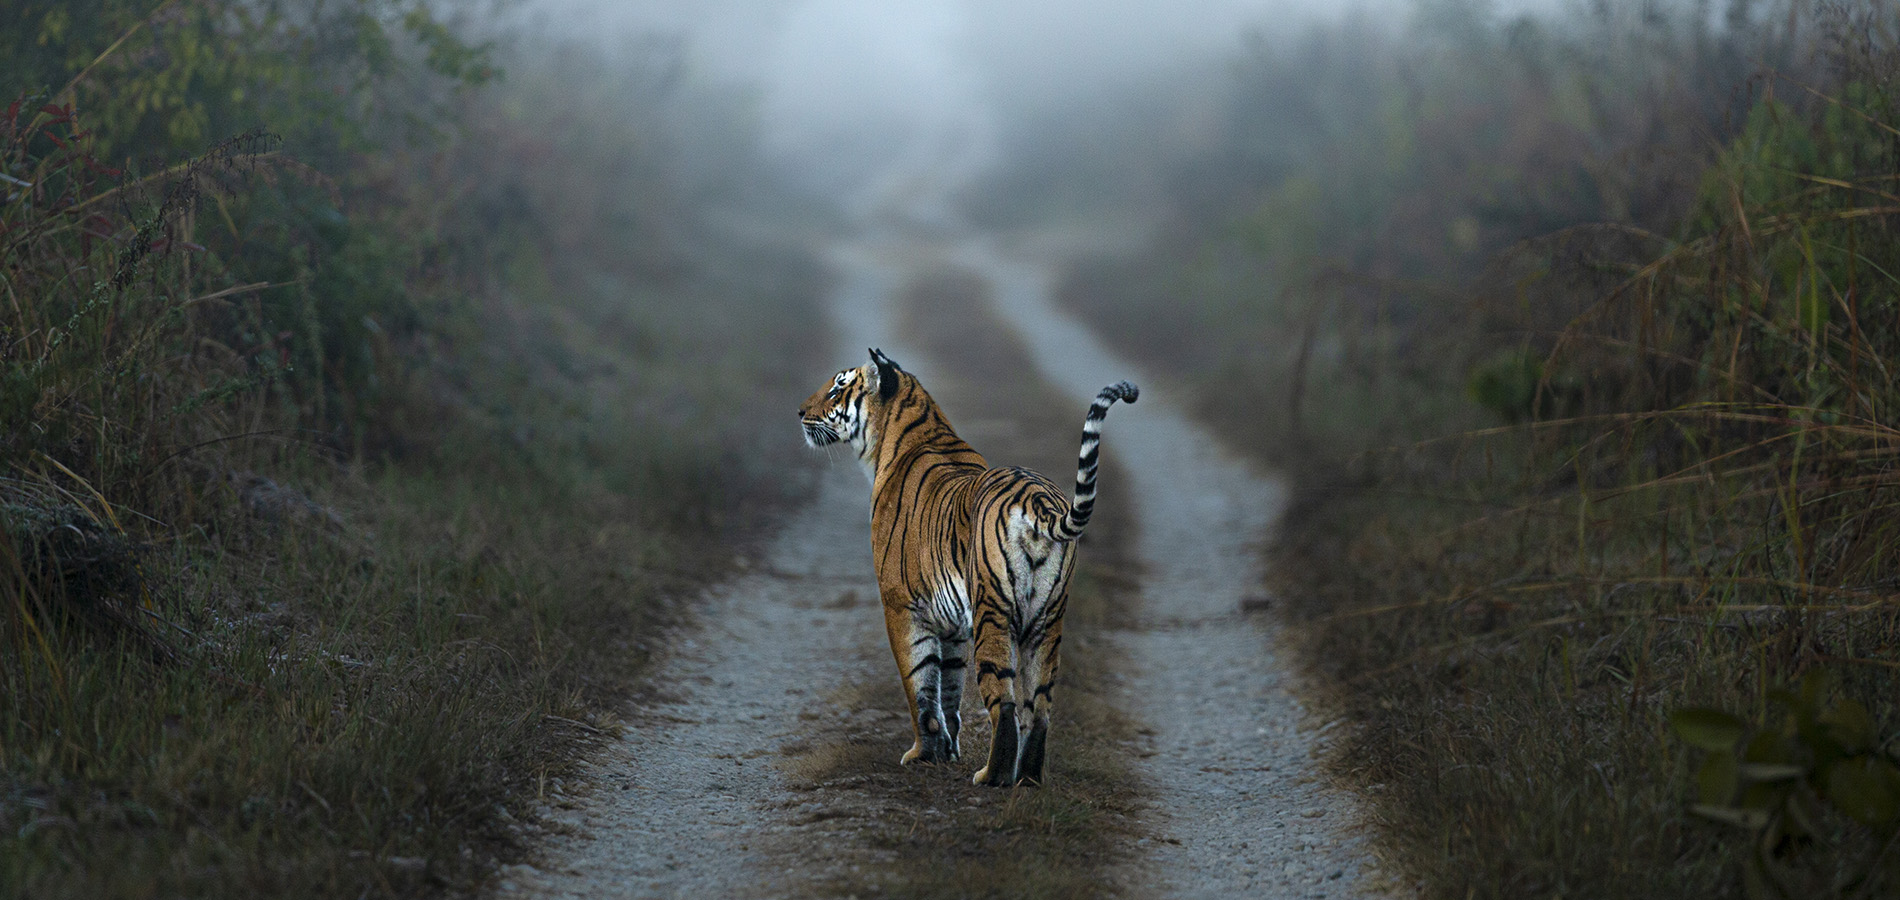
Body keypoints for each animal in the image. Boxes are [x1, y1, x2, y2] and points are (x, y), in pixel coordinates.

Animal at [798, 347, 1132, 782]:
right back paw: (1028, 779)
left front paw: (922, 754)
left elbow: (921, 686)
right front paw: (947, 751)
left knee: (1004, 704)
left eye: (837, 387)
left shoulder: (900, 605)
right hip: (1047, 622)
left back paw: (992, 776)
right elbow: (950, 690)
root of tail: (1039, 500)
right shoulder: (953, 621)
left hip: (994, 614)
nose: (800, 411)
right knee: (1040, 706)